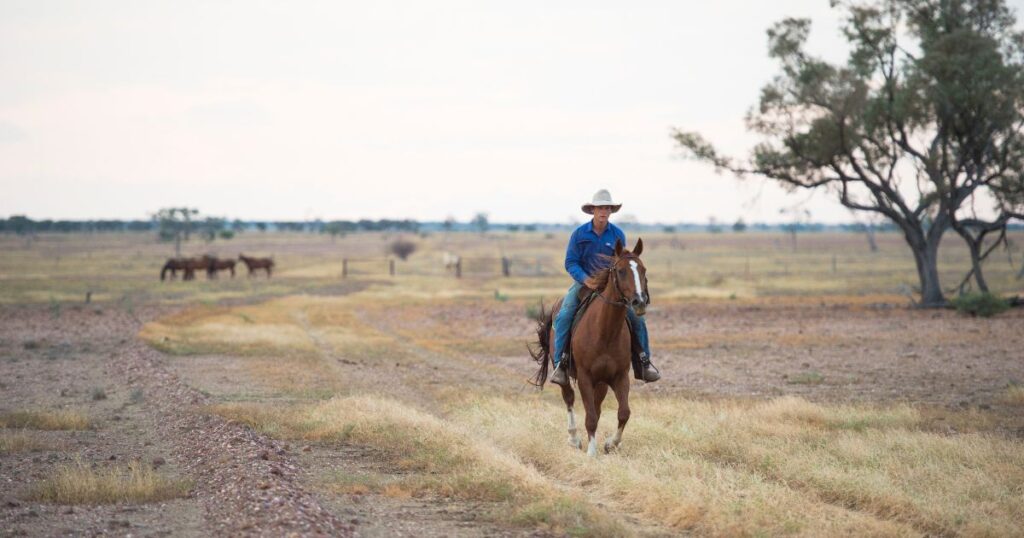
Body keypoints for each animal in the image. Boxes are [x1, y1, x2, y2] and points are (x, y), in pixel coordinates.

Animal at [528, 238, 647, 457]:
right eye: (621, 271)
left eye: (643, 270)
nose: (639, 301)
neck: (606, 331)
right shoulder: (584, 377)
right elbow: (590, 416)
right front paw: (592, 453)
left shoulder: (619, 376)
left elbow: (623, 413)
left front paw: (611, 444)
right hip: (565, 373)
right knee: (569, 398)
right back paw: (574, 439)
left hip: (601, 382)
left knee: (597, 407)